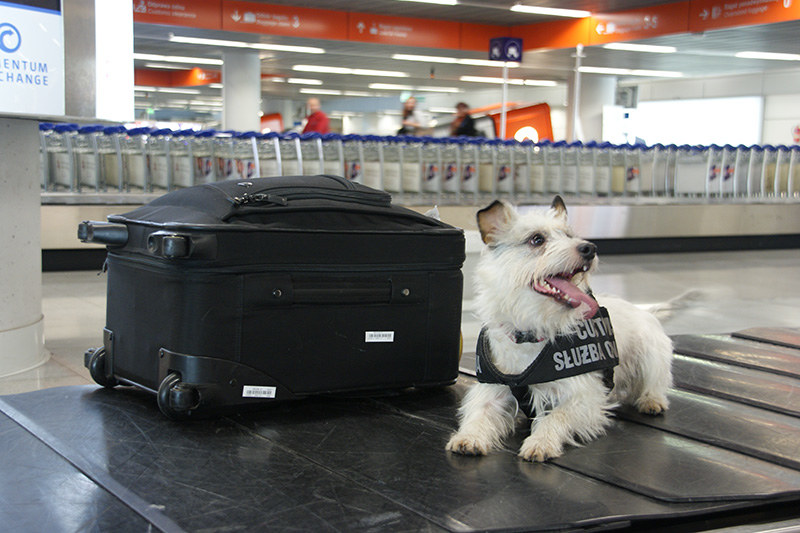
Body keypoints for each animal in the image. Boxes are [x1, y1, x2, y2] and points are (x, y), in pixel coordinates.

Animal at [446, 196, 680, 462]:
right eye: (537, 239)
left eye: (570, 236)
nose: (590, 248)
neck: (531, 332)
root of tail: (645, 311)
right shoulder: (491, 390)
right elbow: (479, 413)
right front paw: (469, 436)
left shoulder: (585, 397)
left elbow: (556, 416)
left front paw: (541, 441)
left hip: (652, 356)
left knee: (656, 382)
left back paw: (651, 400)